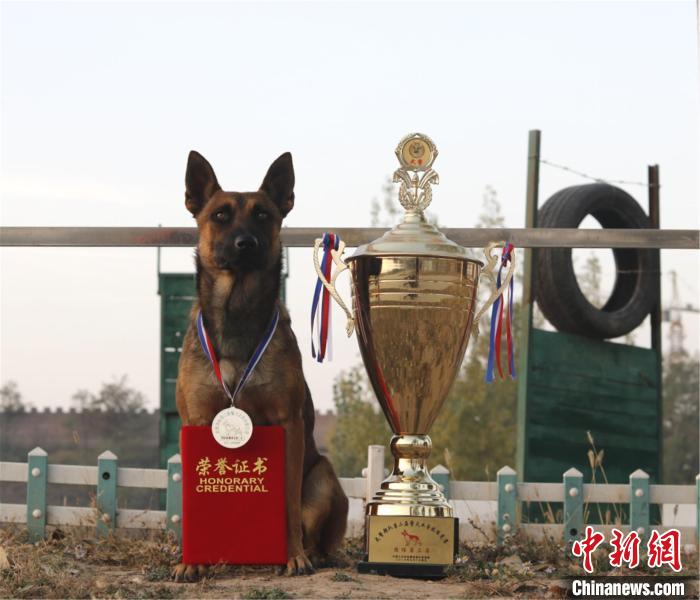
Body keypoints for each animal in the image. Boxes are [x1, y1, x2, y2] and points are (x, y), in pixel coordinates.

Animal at [172, 150, 348, 580]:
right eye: (220, 215)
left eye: (263, 215)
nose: (245, 243)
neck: (237, 312)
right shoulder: (197, 422)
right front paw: (191, 560)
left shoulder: (288, 424)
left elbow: (287, 506)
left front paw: (294, 556)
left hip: (323, 477)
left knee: (315, 528)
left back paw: (311, 554)